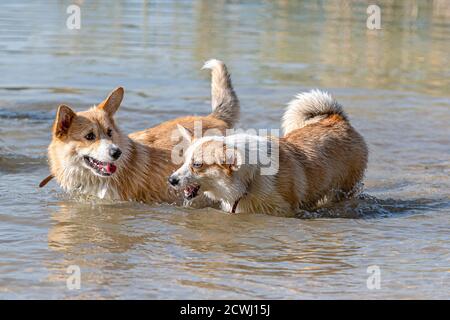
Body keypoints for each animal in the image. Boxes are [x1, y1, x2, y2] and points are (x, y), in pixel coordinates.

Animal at [171, 90, 368, 215]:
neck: (250, 179)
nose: (171, 180)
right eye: (184, 161)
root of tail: (337, 118)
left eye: (197, 164)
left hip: (344, 188)